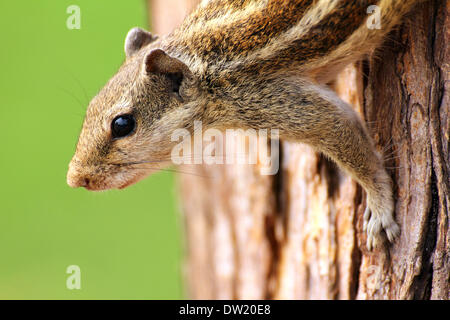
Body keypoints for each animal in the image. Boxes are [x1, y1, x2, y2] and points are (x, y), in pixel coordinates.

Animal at [67, 0, 426, 250]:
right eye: (90, 107)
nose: (74, 178)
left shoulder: (278, 103)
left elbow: (348, 138)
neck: (206, 67)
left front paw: (380, 211)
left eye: (122, 124)